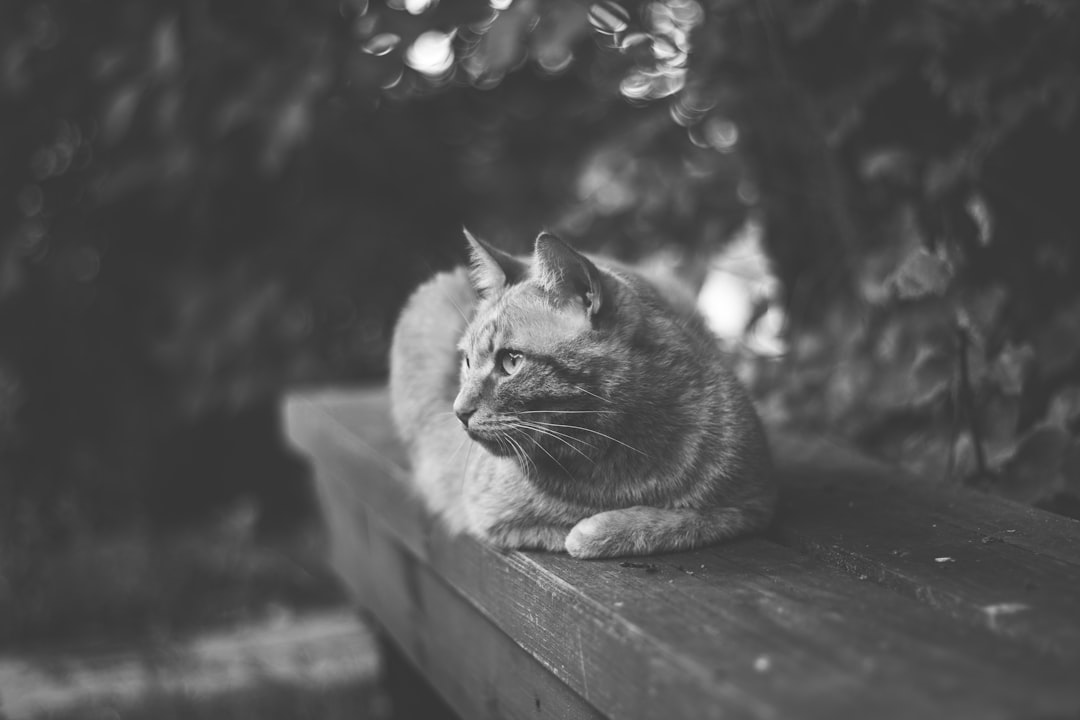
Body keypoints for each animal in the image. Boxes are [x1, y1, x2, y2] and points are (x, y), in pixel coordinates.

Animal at [388, 229, 777, 557]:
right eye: (467, 361)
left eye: (511, 361)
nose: (459, 411)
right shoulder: (489, 514)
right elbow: (560, 531)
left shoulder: (752, 505)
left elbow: (686, 520)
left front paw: (610, 527)